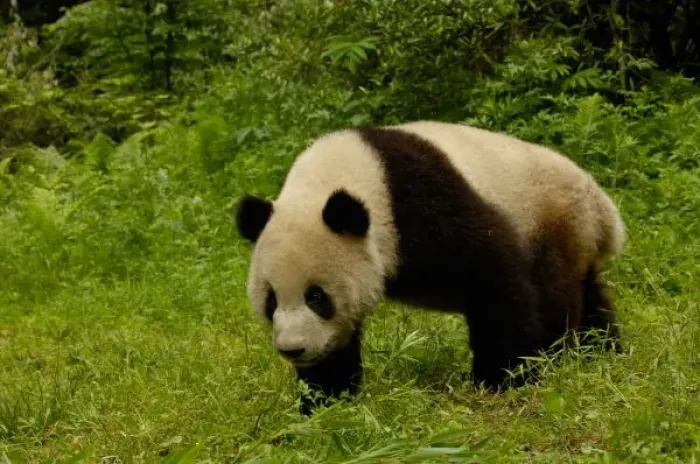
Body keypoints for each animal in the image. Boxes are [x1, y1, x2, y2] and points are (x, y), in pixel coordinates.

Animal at [235, 120, 625, 414]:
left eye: (316, 296)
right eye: (271, 300)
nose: (293, 349)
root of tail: (601, 205)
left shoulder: (421, 202)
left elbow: (494, 277)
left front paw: (502, 378)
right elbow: (336, 344)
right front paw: (324, 400)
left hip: (550, 219)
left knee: (554, 292)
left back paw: (557, 356)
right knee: (592, 296)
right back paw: (602, 352)